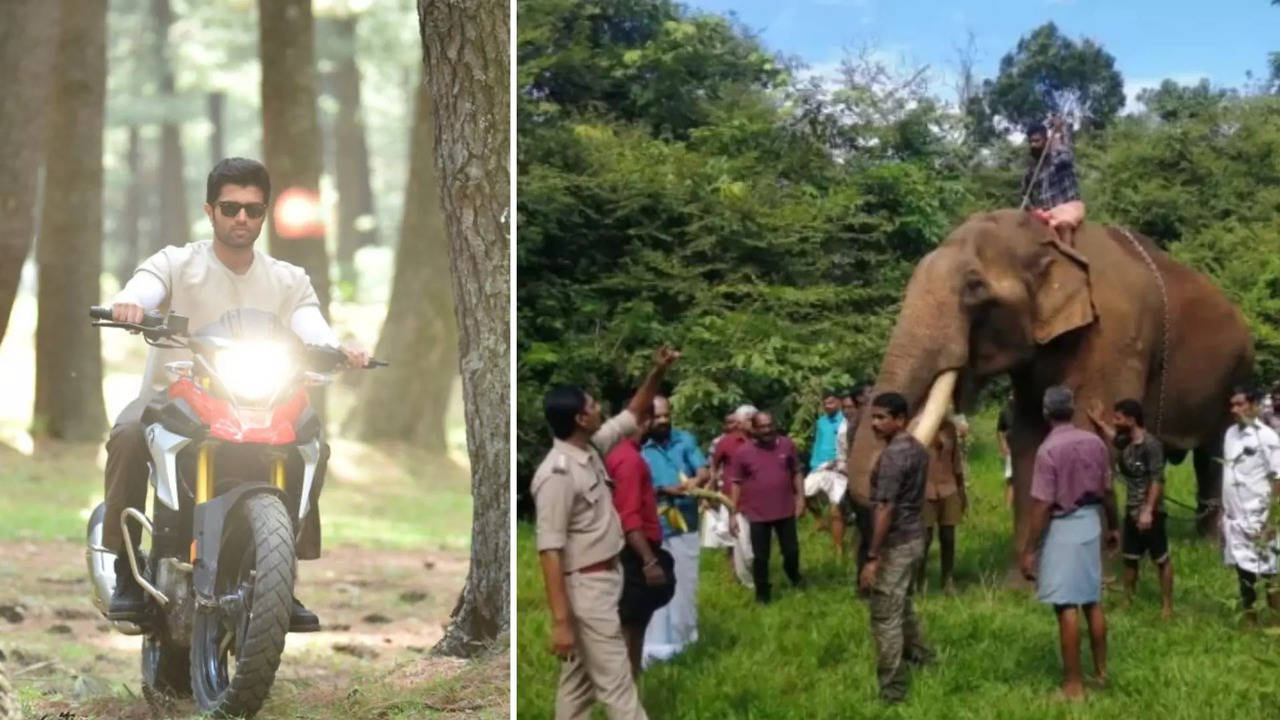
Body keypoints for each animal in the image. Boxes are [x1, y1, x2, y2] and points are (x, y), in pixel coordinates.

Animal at [844, 207, 1254, 566]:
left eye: (975, 288)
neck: (1052, 241)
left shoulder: (1115, 334)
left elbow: (1090, 431)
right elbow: (1028, 439)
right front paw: (1024, 583)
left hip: (1235, 373)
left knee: (1213, 453)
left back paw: (1212, 547)